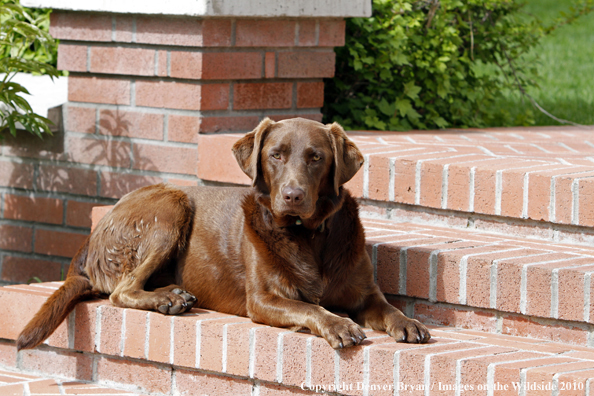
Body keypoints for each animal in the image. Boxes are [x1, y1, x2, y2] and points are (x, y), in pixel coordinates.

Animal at [17, 117, 426, 350]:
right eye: (275, 155)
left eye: (316, 157)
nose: (292, 195)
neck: (308, 237)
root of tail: (90, 241)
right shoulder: (262, 299)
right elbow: (310, 307)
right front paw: (338, 324)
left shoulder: (365, 294)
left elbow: (389, 308)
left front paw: (410, 323)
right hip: (172, 205)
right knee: (122, 291)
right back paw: (169, 298)